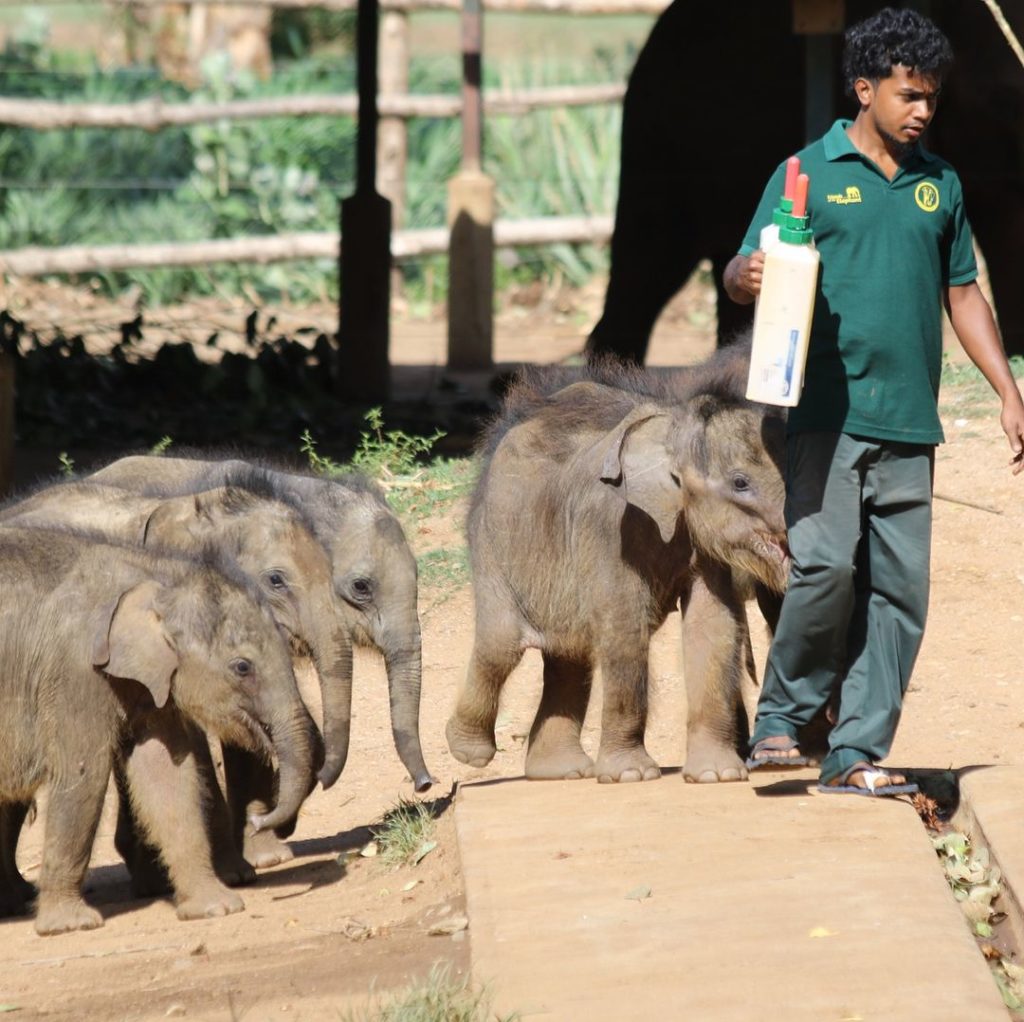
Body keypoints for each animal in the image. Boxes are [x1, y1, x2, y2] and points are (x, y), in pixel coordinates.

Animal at [0, 474, 346, 872]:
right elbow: (193, 742)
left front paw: (265, 859)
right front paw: (239, 871)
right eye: (276, 580)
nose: (274, 822)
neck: (186, 509)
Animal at [446, 350, 789, 784]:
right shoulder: (609, 525)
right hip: (494, 542)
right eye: (741, 483)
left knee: (567, 657)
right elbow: (624, 626)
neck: (670, 424)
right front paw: (632, 776)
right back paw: (470, 752)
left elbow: (712, 626)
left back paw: (562, 772)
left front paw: (718, 776)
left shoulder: (703, 547)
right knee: (501, 645)